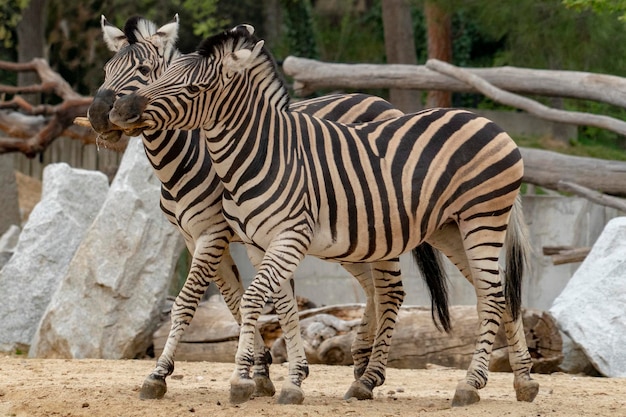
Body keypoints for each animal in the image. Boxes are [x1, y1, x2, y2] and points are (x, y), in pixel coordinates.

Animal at [109, 23, 540, 406]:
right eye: (162, 75)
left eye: (193, 88)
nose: (117, 111)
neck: (258, 154)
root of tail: (486, 120)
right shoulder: (256, 243)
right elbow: (281, 307)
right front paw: (289, 380)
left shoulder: (277, 235)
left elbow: (247, 300)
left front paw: (239, 379)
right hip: (448, 229)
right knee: (497, 293)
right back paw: (522, 380)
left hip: (481, 219)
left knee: (482, 293)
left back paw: (467, 384)